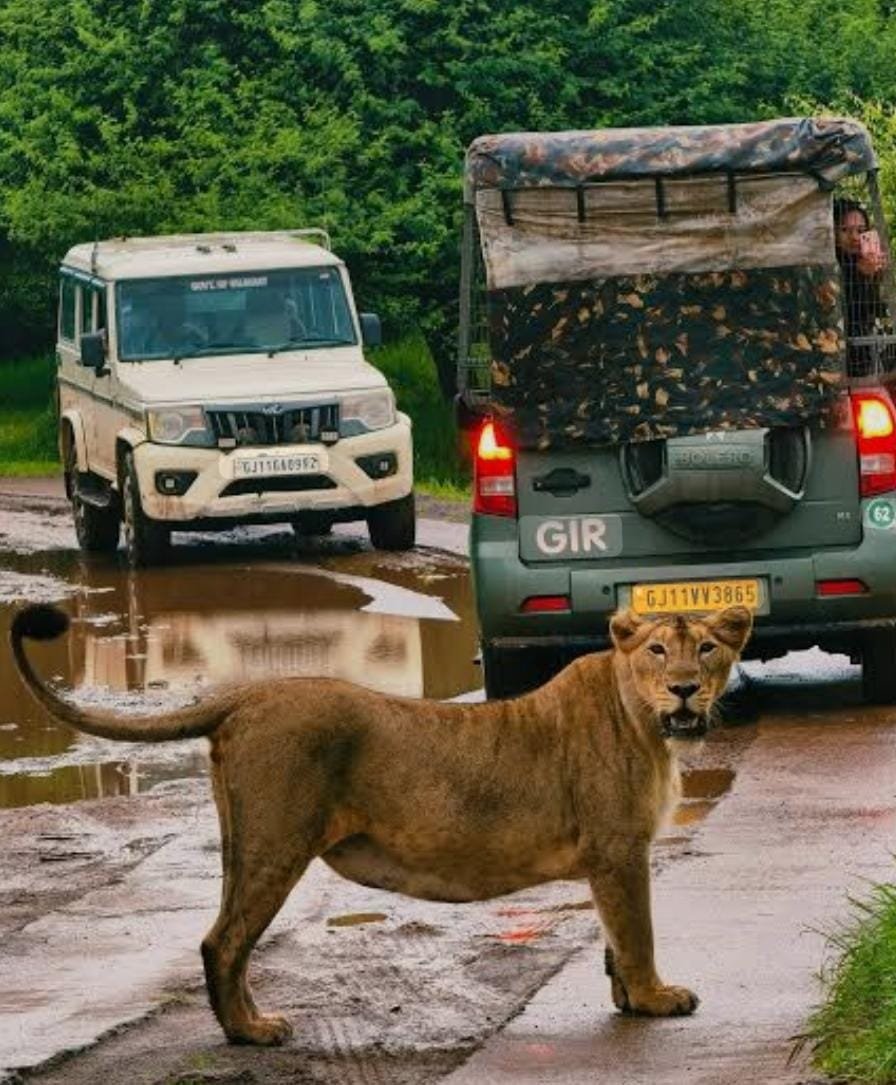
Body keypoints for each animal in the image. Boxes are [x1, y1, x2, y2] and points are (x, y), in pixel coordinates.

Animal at [10, 602, 751, 1046]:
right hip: (277, 842)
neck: (645, 720)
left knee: (229, 940)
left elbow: (613, 940)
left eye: (708, 649)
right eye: (657, 651)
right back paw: (251, 1032)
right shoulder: (619, 849)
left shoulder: (608, 858)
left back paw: (250, 1022)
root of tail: (245, 695)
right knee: (222, 942)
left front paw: (628, 999)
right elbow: (637, 933)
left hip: (243, 843)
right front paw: (656, 999)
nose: (686, 689)